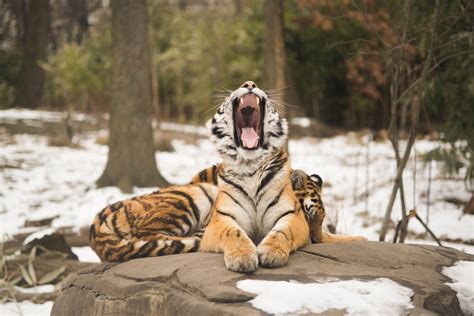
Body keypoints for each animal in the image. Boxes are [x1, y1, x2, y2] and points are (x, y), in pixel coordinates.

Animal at [198, 80, 364, 272]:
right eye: (308, 215)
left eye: (321, 219)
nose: (249, 84)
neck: (251, 166)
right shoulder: (222, 218)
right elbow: (233, 232)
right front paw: (241, 257)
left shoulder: (291, 215)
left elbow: (283, 232)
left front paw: (273, 252)